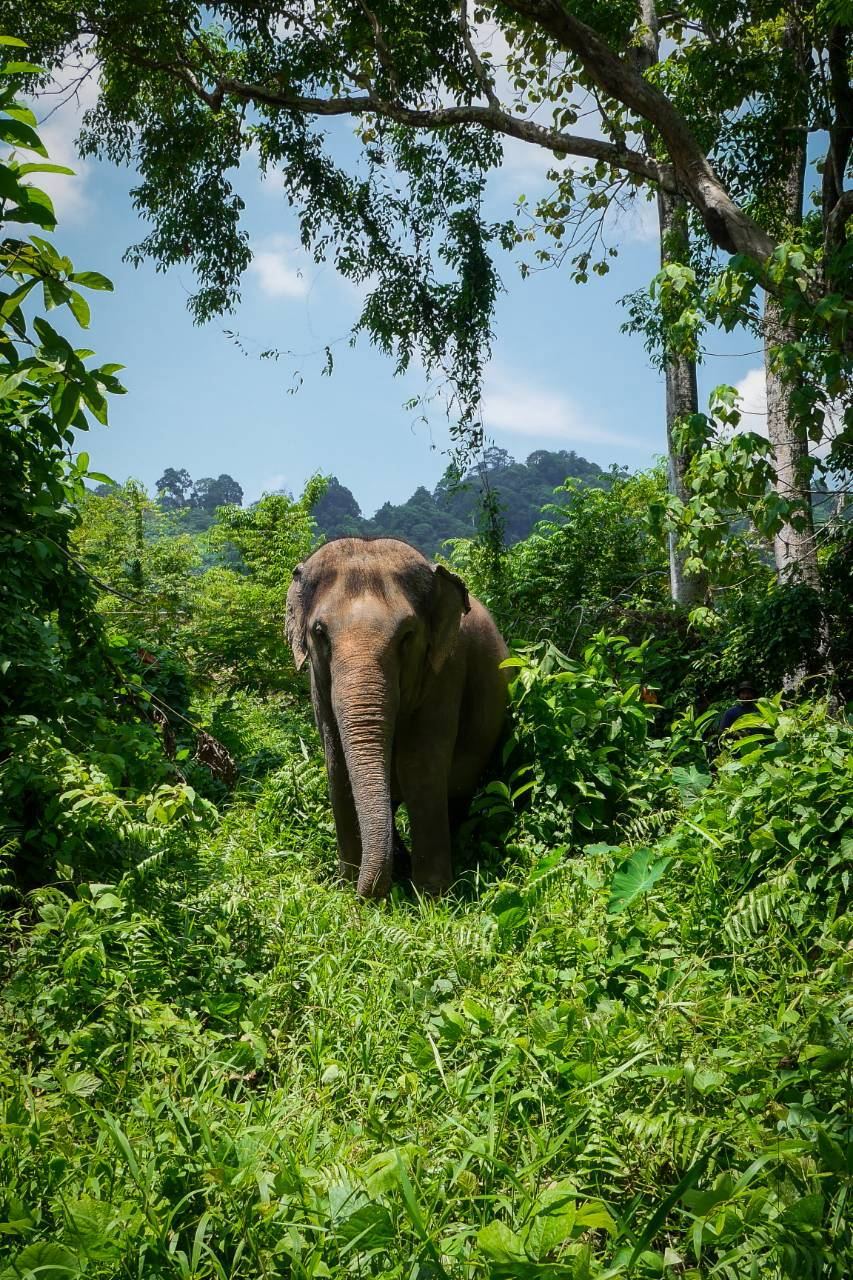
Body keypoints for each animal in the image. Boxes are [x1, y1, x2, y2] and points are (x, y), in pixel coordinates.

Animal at [285, 537, 509, 898]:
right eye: (319, 632)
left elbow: (421, 766)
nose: (368, 897)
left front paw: (432, 897)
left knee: (459, 792)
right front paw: (346, 889)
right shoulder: (317, 684)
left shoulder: (446, 672)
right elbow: (337, 766)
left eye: (407, 634)